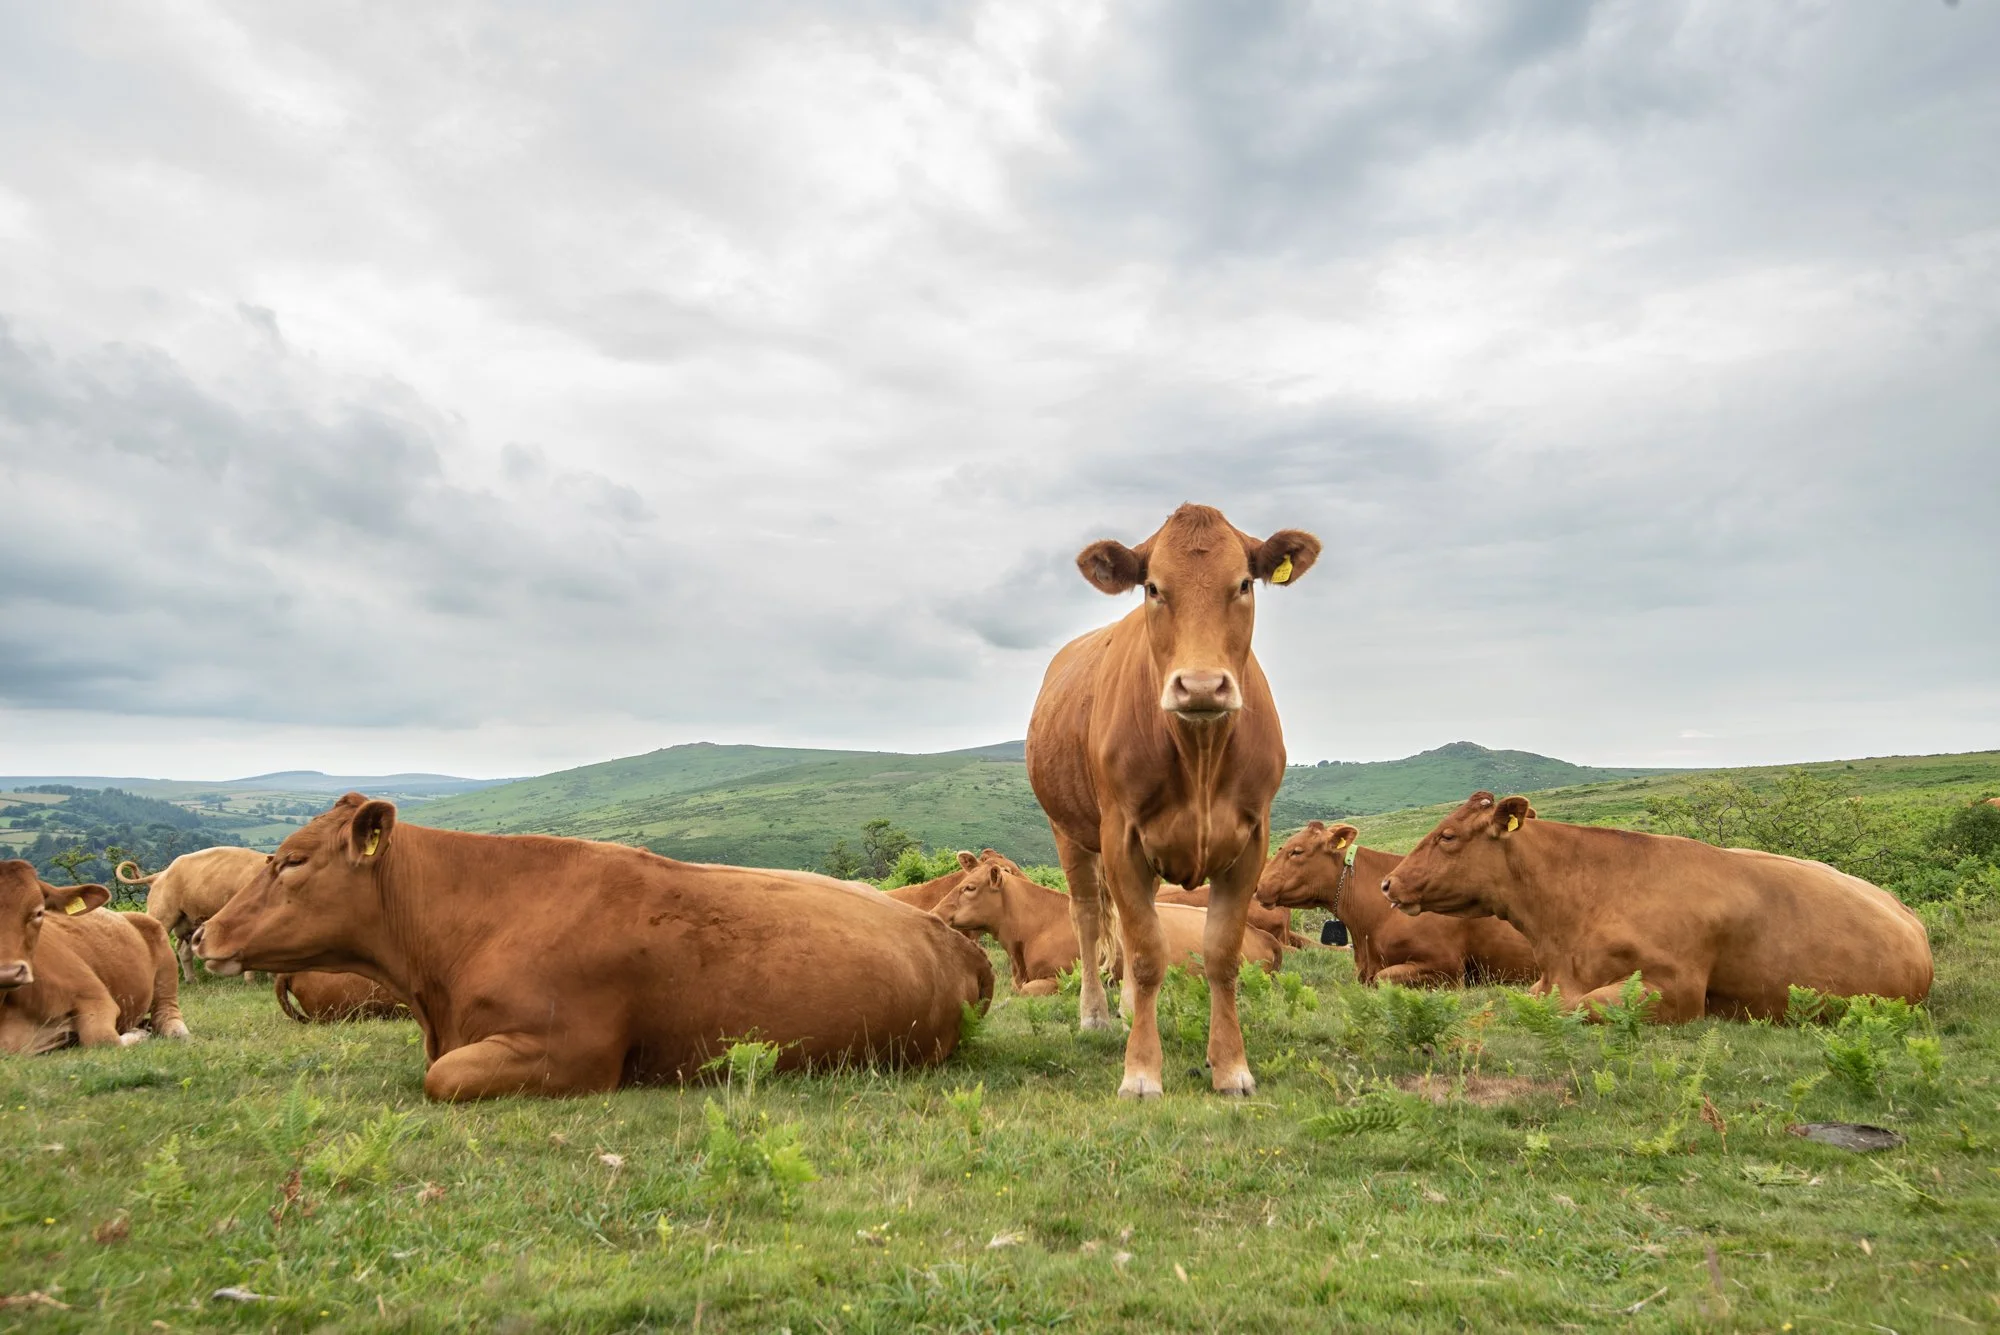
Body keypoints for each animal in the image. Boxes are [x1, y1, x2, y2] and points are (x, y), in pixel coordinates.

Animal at [0, 861, 188, 1053]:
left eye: (39, 912)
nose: (8, 972)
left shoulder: (96, 997)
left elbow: (102, 1039)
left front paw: (139, 1035)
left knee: (166, 1013)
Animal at [116, 846, 267, 981]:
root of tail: (160, 875)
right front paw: (251, 981)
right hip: (162, 913)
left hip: (190, 920)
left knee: (183, 950)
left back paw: (191, 980)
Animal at [1026, 503, 1319, 1097]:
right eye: (1154, 588)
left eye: (1244, 583)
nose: (1202, 686)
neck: (1200, 754)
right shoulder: (1121, 836)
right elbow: (1144, 955)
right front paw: (1141, 1071)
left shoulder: (1252, 839)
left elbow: (1220, 955)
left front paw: (1231, 1067)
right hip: (1068, 830)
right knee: (1087, 916)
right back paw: (1096, 1013)